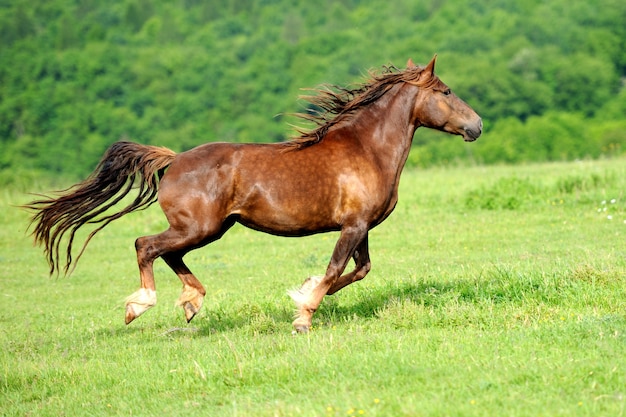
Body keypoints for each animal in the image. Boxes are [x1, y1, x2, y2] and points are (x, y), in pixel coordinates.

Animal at [24, 55, 480, 332]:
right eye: (445, 92)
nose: (476, 126)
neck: (366, 149)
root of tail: (174, 160)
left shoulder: (361, 227)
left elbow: (357, 270)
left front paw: (302, 293)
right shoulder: (352, 225)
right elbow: (336, 269)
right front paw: (303, 317)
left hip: (208, 229)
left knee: (167, 253)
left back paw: (191, 303)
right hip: (199, 227)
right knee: (146, 245)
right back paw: (140, 305)